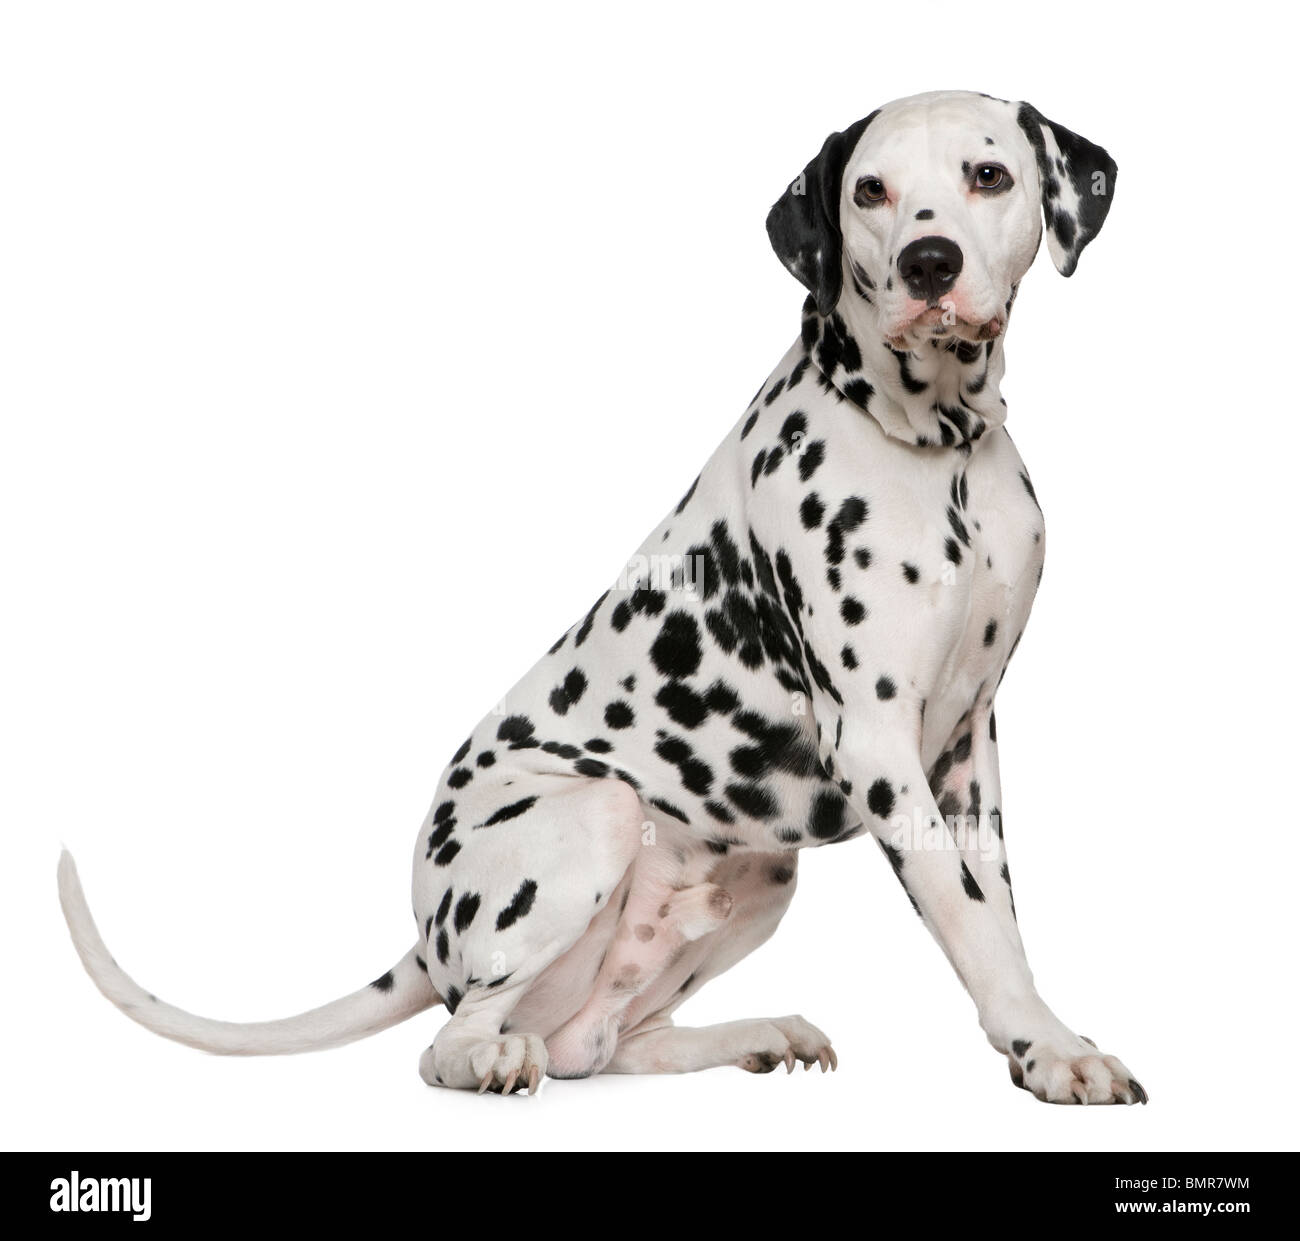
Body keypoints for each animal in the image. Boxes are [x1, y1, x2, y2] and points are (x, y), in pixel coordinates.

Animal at [61, 92, 1149, 1112]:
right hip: (595, 816)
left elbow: (998, 909)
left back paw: (755, 1034)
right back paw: (494, 1056)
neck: (938, 450)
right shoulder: (878, 743)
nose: (930, 262)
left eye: (987, 175)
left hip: (758, 878)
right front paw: (1050, 1048)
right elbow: (970, 919)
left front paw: (1039, 1033)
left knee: (609, 1040)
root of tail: (423, 930)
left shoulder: (966, 749)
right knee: (455, 1038)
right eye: (870, 192)